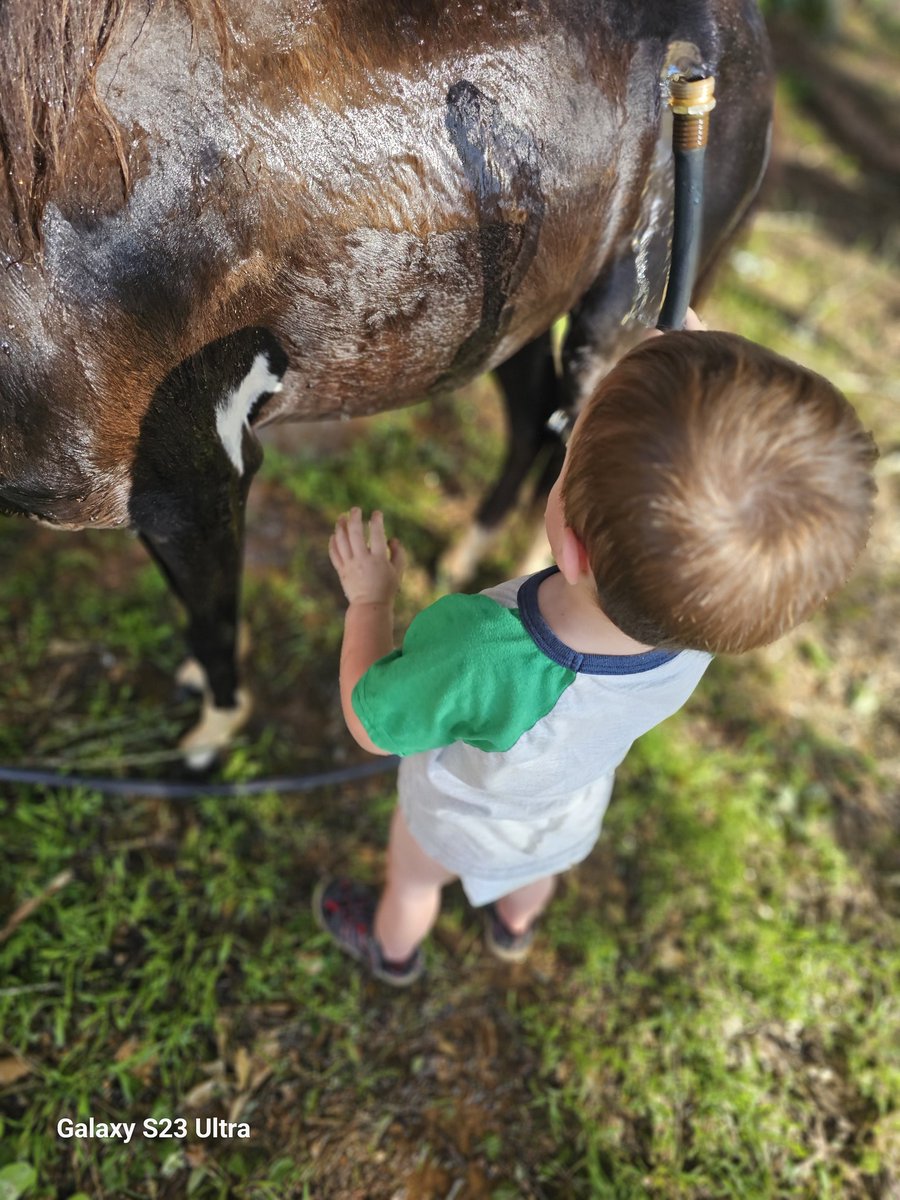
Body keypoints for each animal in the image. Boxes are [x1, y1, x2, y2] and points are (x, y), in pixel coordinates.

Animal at [0, 0, 774, 767]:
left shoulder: (192, 481)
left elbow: (212, 620)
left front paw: (213, 731)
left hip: (624, 315)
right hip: (503, 317)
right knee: (534, 418)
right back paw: (465, 559)